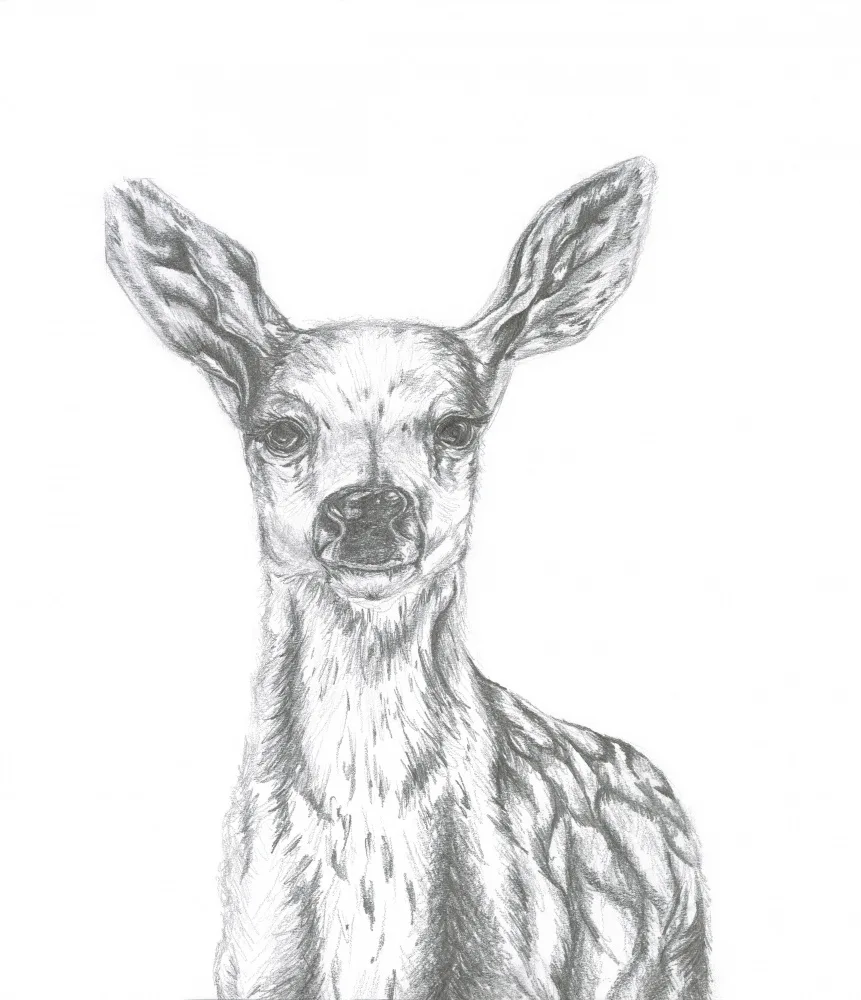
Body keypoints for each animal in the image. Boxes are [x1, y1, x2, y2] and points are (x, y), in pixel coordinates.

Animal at [105, 158, 709, 1000]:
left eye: (456, 425)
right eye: (279, 430)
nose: (368, 508)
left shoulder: (507, 969)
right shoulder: (259, 968)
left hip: (673, 964)